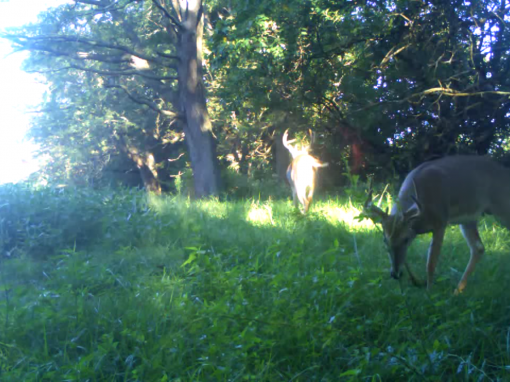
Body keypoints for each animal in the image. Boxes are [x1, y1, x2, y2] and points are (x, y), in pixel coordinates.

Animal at [364, 155, 510, 296]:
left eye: (405, 239)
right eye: (385, 240)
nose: (395, 274)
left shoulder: (440, 222)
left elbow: (431, 263)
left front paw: (429, 293)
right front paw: (415, 281)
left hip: (503, 207)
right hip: (469, 218)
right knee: (478, 248)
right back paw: (457, 291)